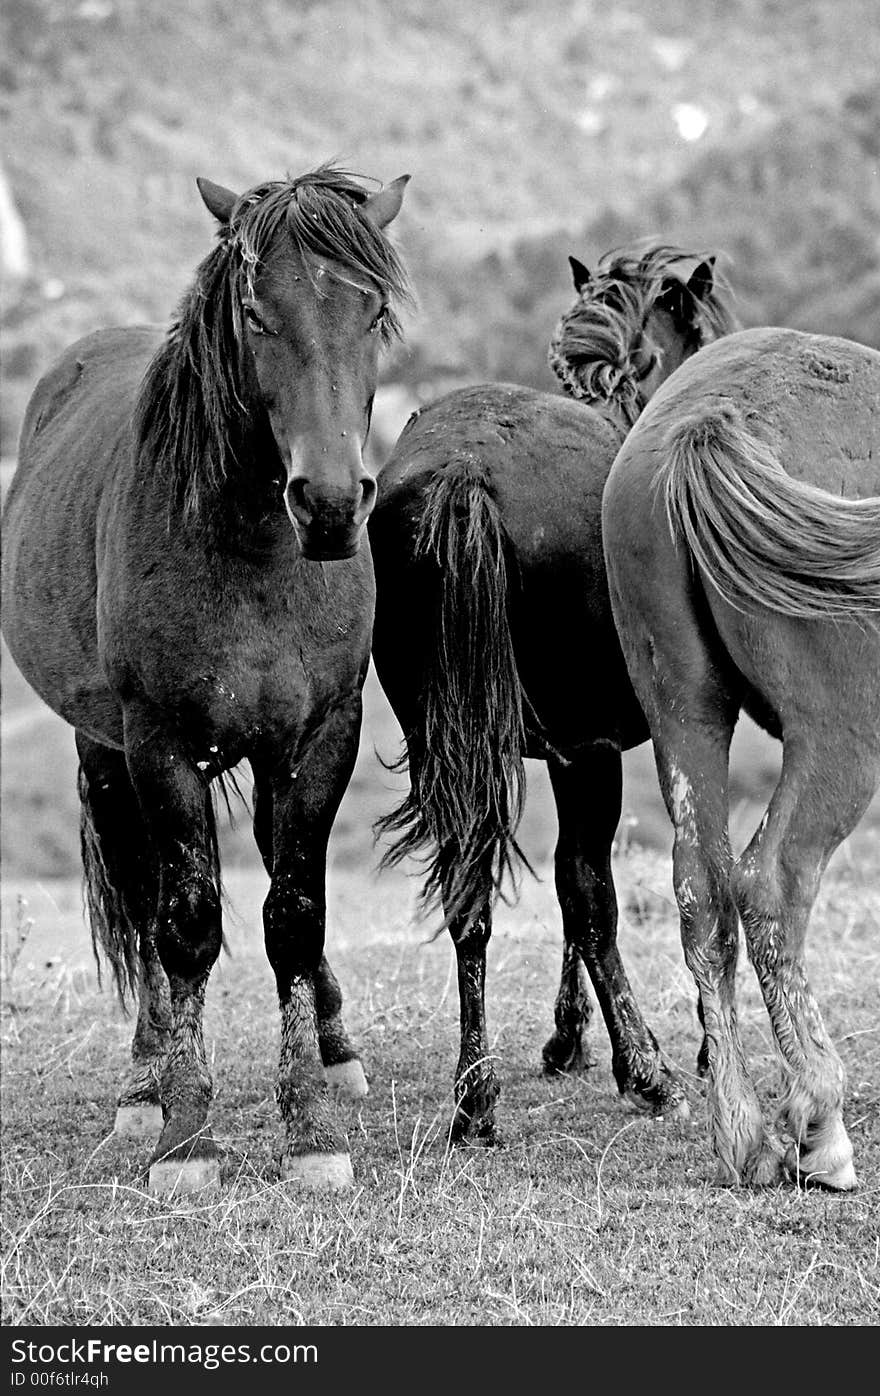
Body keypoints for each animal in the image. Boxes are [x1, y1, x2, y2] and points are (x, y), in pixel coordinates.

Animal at [0, 163, 413, 1189]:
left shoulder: (322, 736)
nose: (330, 504)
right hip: (105, 749)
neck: (254, 553)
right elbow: (183, 921)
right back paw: (143, 1087)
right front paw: (186, 1132)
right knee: (146, 892)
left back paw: (333, 1050)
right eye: (256, 315)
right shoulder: (160, 743)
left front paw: (310, 1124)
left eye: (376, 310)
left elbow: (294, 915)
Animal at [371, 245, 737, 1139]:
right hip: (587, 749)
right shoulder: (618, 743)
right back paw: (648, 1072)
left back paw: (476, 1098)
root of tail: (465, 473)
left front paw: (566, 1042)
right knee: (589, 891)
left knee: (472, 893)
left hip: (453, 744)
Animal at [603, 326, 880, 1189]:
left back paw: (743, 1135)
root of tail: (713, 412)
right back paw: (819, 1120)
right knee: (773, 884)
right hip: (840, 739)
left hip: (684, 711)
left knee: (702, 892)